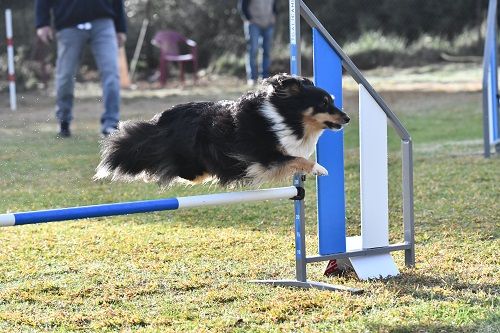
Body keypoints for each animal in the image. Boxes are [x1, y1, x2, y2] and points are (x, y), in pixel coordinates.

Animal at [95, 73, 350, 187]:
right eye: (323, 103)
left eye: (332, 100)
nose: (347, 118)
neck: (285, 116)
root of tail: (161, 121)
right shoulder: (265, 157)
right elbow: (298, 159)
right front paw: (319, 168)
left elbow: (297, 158)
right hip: (190, 161)